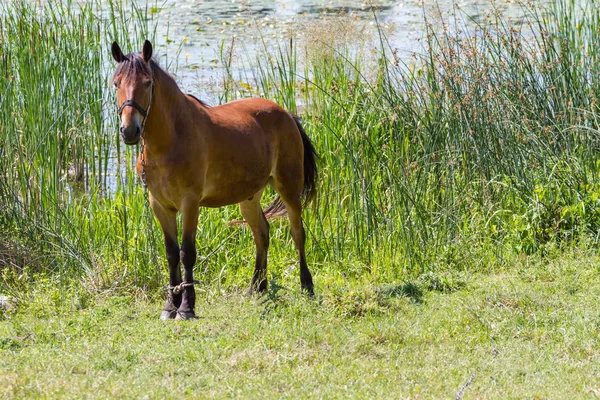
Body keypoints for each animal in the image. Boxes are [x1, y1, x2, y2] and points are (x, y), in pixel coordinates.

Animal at [112, 40, 318, 320]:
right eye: (116, 83)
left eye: (147, 83)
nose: (129, 131)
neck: (171, 139)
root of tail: (287, 114)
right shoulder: (160, 206)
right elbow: (171, 254)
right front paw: (170, 306)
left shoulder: (190, 204)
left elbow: (187, 253)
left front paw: (187, 307)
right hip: (249, 197)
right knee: (261, 234)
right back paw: (257, 288)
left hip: (289, 188)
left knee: (298, 233)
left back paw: (307, 286)